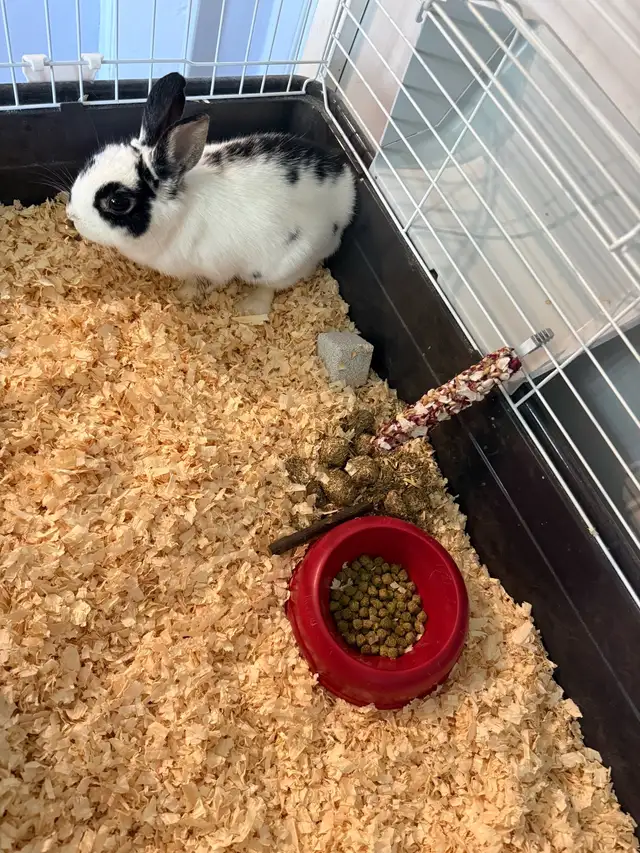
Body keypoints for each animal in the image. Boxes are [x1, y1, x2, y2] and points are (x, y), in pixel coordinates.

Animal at [67, 72, 357, 315]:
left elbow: (199, 281)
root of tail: (346, 192)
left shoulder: (209, 267)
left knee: (271, 286)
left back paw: (251, 307)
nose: (71, 216)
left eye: (117, 202)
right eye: (95, 158)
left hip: (285, 261)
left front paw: (183, 295)